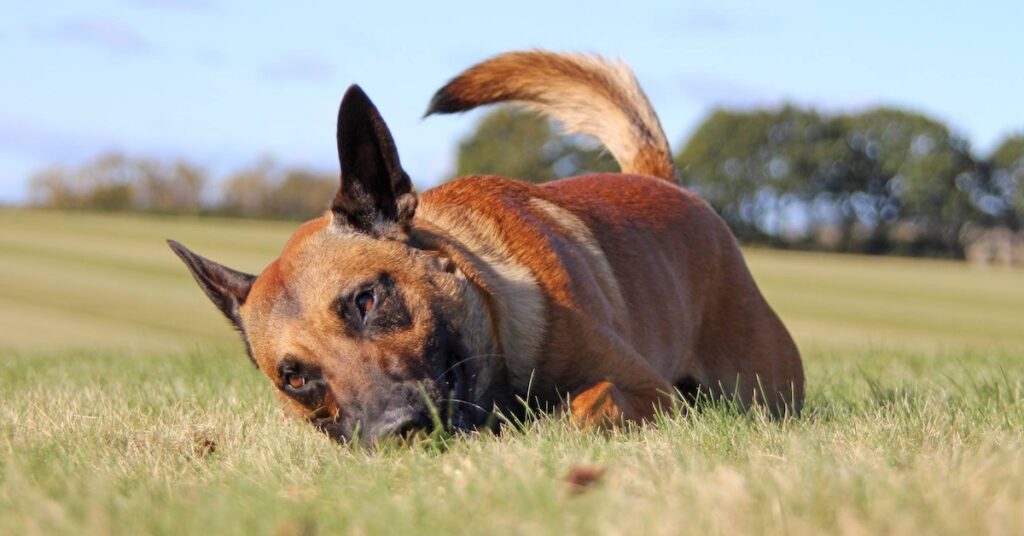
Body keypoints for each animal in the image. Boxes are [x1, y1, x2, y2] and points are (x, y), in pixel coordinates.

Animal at [172, 51, 802, 444]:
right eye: (294, 378)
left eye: (366, 301)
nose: (395, 432)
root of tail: (664, 180)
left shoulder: (652, 393)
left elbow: (590, 403)